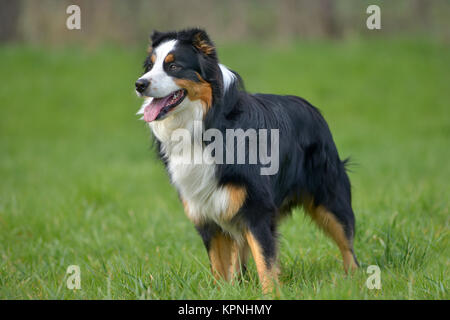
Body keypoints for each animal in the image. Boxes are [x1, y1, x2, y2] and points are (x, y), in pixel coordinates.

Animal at [134, 28, 358, 296]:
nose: (139, 84)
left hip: (329, 197)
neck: (205, 124)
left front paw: (272, 294)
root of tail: (310, 106)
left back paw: (354, 282)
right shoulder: (205, 212)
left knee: (347, 245)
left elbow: (265, 261)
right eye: (149, 66)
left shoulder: (256, 209)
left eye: (174, 66)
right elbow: (219, 266)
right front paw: (223, 292)